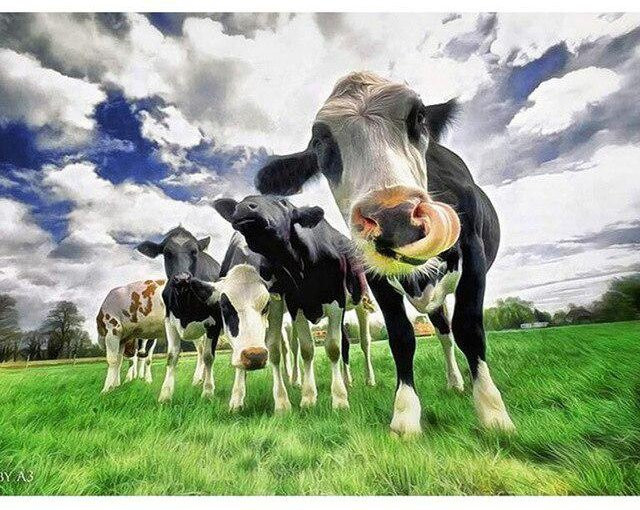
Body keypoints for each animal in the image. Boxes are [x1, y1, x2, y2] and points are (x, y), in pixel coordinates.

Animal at [136, 226, 224, 402]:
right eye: (167, 252)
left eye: (194, 251)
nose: (182, 278)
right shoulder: (170, 322)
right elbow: (172, 356)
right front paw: (165, 394)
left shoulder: (214, 323)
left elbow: (209, 356)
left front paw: (208, 392)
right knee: (200, 351)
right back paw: (197, 380)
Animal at [214, 195, 373, 411]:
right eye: (224, 307)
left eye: (283, 203)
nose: (246, 207)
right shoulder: (296, 305)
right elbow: (302, 348)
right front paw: (237, 398)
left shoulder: (332, 301)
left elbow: (331, 348)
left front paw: (338, 399)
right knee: (340, 342)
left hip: (359, 303)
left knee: (364, 341)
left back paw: (368, 380)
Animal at [255, 71, 513, 436]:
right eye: (320, 143)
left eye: (418, 116)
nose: (394, 217)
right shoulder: (373, 278)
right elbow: (401, 337)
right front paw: (405, 414)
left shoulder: (474, 256)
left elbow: (469, 328)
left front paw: (492, 411)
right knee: (440, 330)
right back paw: (452, 381)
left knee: (447, 332)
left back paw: (456, 382)